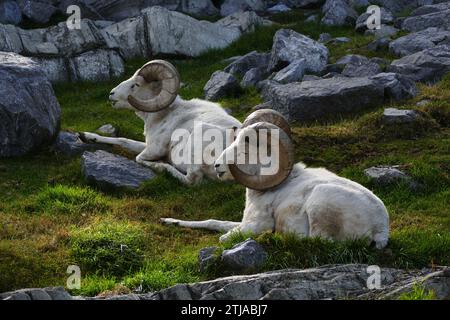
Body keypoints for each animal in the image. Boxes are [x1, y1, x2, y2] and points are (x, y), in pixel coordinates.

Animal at [81, 60, 244, 185]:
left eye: (135, 85)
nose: (111, 94)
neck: (164, 115)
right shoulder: (146, 144)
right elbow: (123, 140)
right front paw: (85, 136)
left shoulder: (154, 149)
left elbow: (138, 156)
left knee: (192, 180)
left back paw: (164, 166)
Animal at [162, 111, 390, 249]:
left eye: (246, 148)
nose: (218, 166)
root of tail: (380, 229)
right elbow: (214, 222)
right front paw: (169, 221)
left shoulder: (254, 225)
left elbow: (223, 237)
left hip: (319, 203)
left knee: (316, 241)